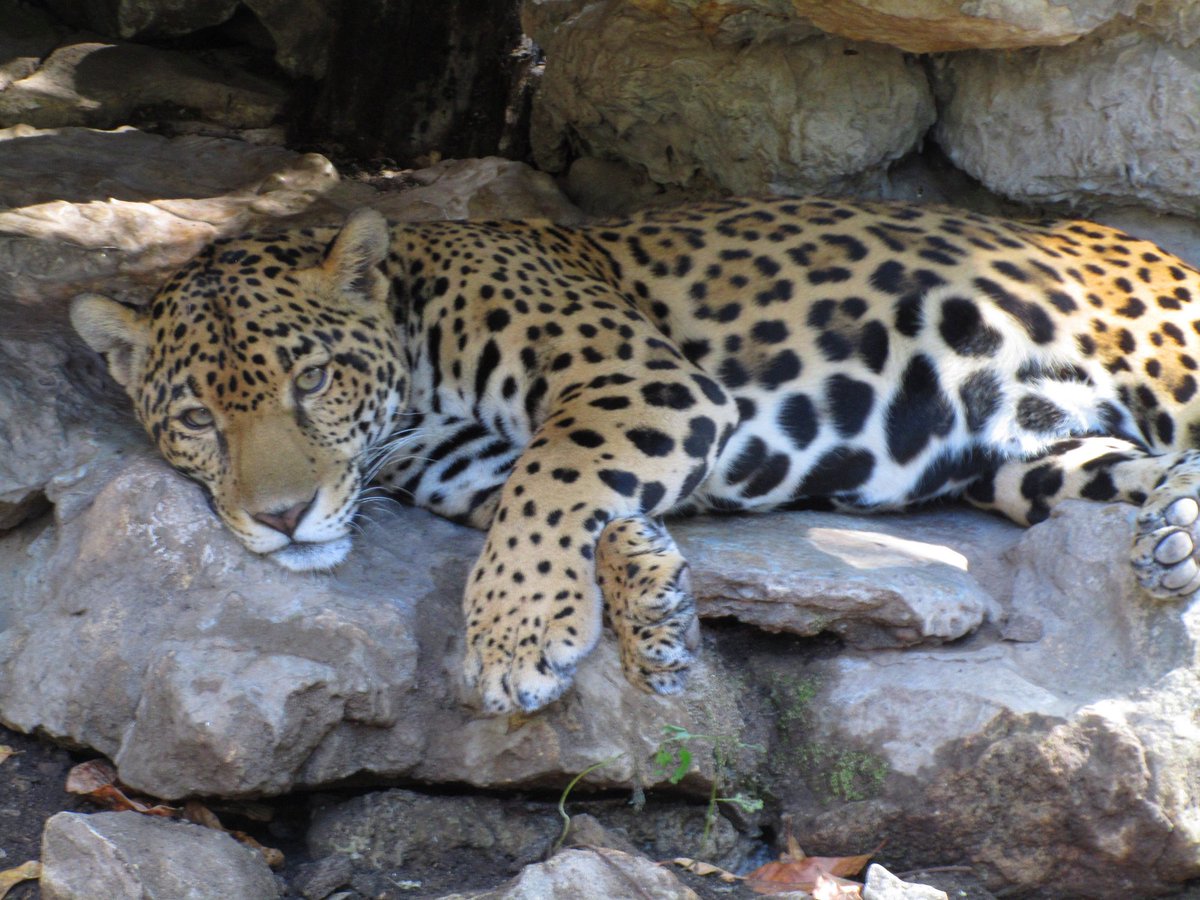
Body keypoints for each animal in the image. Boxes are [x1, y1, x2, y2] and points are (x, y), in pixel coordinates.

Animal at [71, 196, 1200, 715]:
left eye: (310, 381)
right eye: (197, 419)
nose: (280, 519)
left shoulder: (635, 381)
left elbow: (552, 484)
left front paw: (512, 640)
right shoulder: (473, 463)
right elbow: (556, 503)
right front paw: (651, 602)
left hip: (1163, 360)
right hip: (1034, 453)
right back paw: (1174, 531)